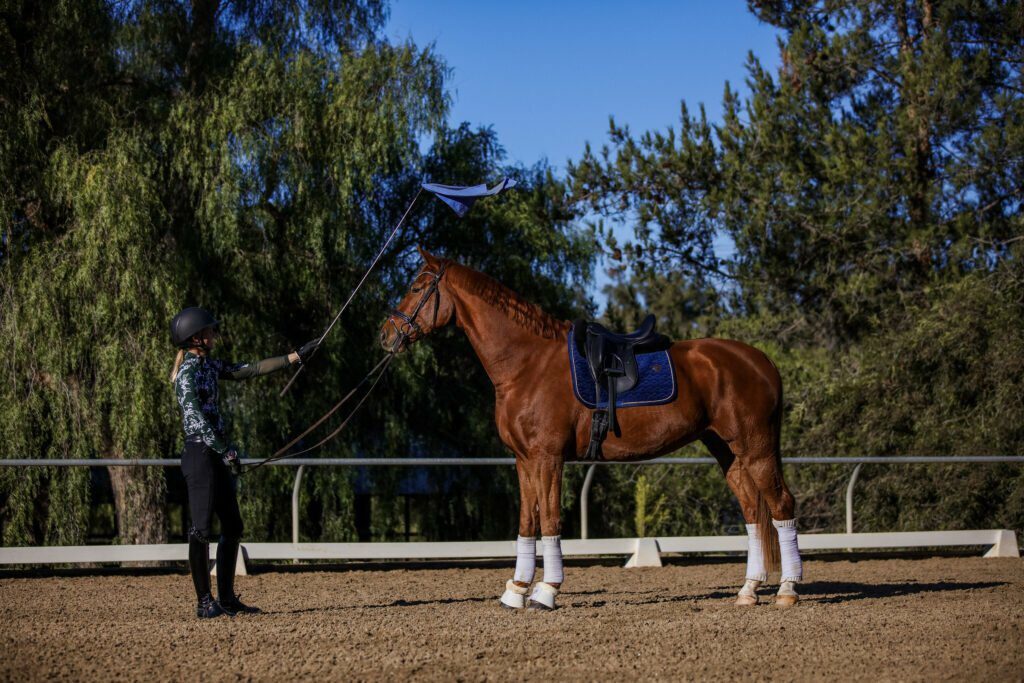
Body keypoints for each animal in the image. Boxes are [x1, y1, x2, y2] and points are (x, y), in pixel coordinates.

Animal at [379, 248, 803, 609]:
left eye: (416, 287)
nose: (386, 334)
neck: (527, 364)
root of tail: (761, 361)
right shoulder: (524, 460)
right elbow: (527, 522)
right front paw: (516, 590)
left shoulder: (548, 458)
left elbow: (549, 520)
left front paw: (546, 591)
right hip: (726, 450)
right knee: (752, 512)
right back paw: (748, 591)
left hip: (755, 446)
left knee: (781, 504)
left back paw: (787, 591)